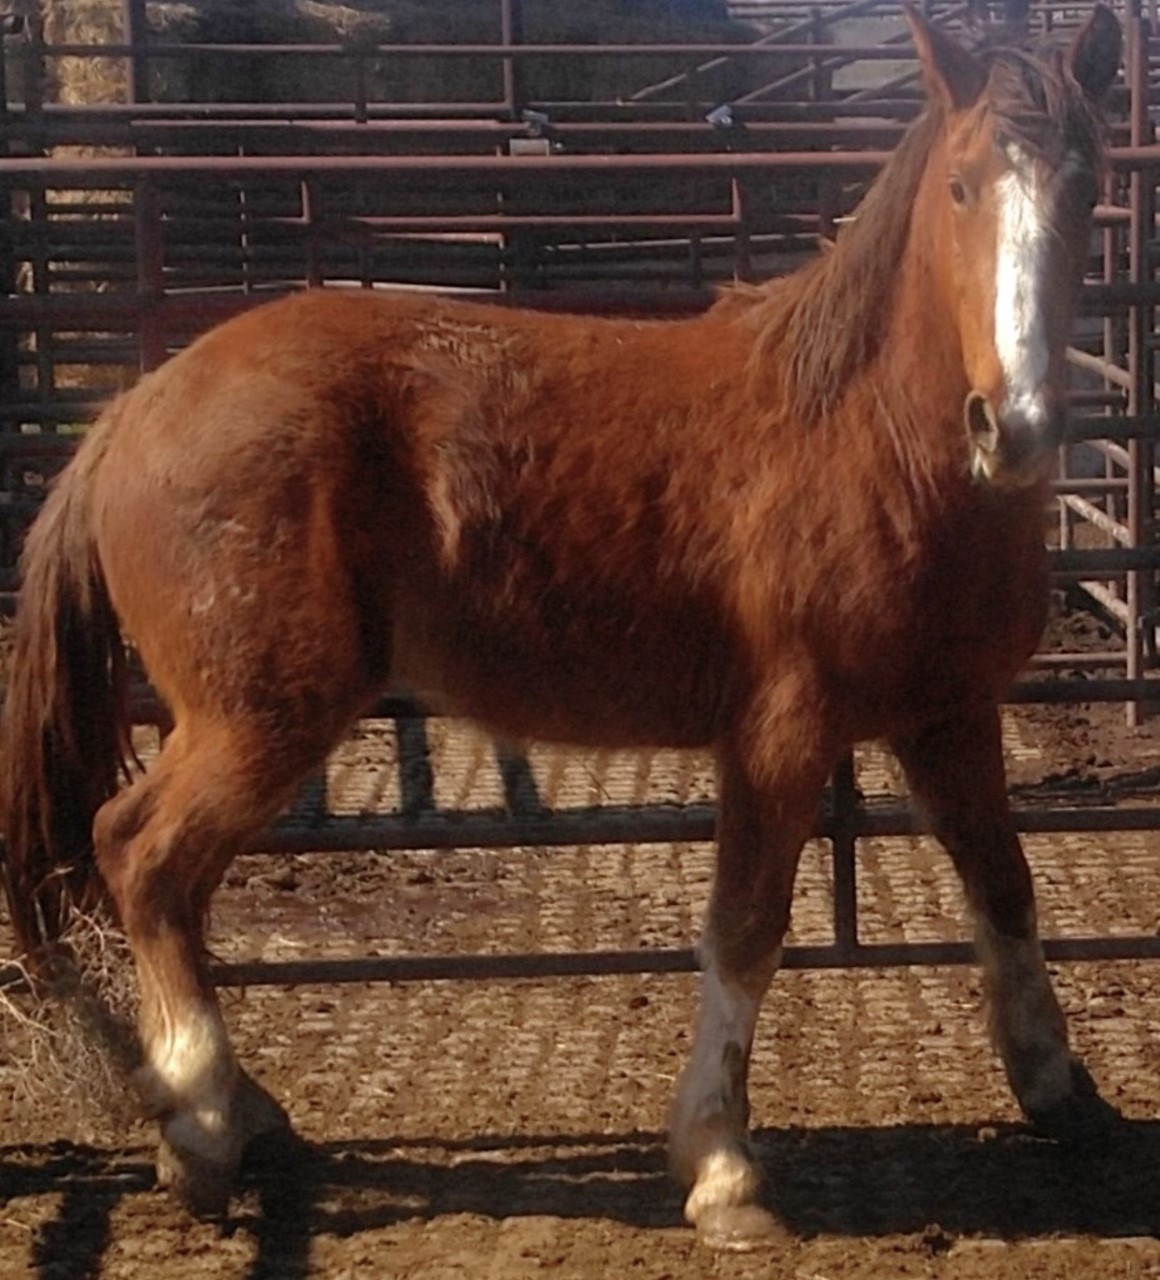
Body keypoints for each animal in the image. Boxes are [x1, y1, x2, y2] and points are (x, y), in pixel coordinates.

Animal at [0, 6, 1123, 1250]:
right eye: (963, 186)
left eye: (1086, 184)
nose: (1014, 425)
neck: (868, 438)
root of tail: (131, 412)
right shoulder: (778, 735)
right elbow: (745, 928)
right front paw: (721, 1169)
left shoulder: (948, 717)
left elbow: (1004, 888)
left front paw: (1063, 1094)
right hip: (257, 719)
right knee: (140, 853)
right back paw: (199, 1132)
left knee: (171, 878)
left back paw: (245, 1116)